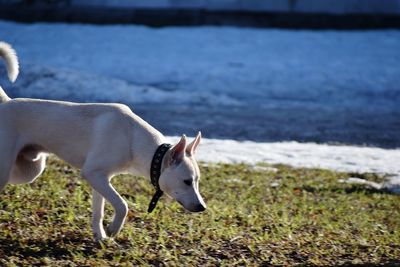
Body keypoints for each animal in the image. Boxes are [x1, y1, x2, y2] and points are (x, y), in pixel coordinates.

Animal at [0, 43, 206, 242]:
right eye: (187, 181)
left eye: (196, 181)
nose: (202, 207)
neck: (133, 139)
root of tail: (6, 103)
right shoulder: (93, 174)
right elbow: (122, 205)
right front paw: (113, 229)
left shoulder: (100, 178)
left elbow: (98, 212)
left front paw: (100, 237)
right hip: (8, 167)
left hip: (30, 169)